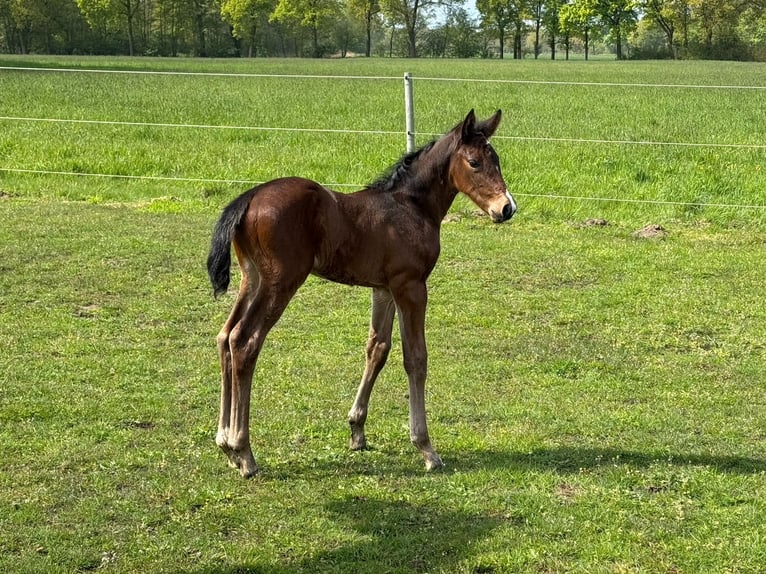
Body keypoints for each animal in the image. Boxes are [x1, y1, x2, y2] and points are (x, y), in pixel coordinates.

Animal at [207, 110, 516, 480]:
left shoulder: (383, 289)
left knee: (225, 336)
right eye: (474, 162)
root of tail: (250, 197)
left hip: (250, 279)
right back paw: (244, 452)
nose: (507, 208)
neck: (411, 207)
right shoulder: (411, 286)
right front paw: (426, 447)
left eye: (496, 160)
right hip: (279, 283)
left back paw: (225, 444)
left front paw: (357, 430)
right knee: (244, 341)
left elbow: (377, 349)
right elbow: (415, 359)